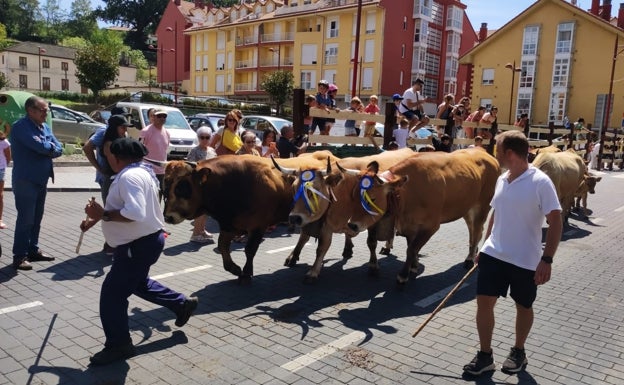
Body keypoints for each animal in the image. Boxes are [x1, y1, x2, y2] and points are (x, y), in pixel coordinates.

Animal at [346, 148, 498, 284]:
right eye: (353, 196)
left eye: (372, 199)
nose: (352, 224)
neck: (406, 194)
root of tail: (486, 154)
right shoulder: (410, 226)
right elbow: (405, 246)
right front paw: (413, 266)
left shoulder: (430, 226)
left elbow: (412, 249)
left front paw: (403, 275)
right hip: (466, 209)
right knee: (474, 230)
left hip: (482, 207)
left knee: (477, 231)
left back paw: (470, 259)